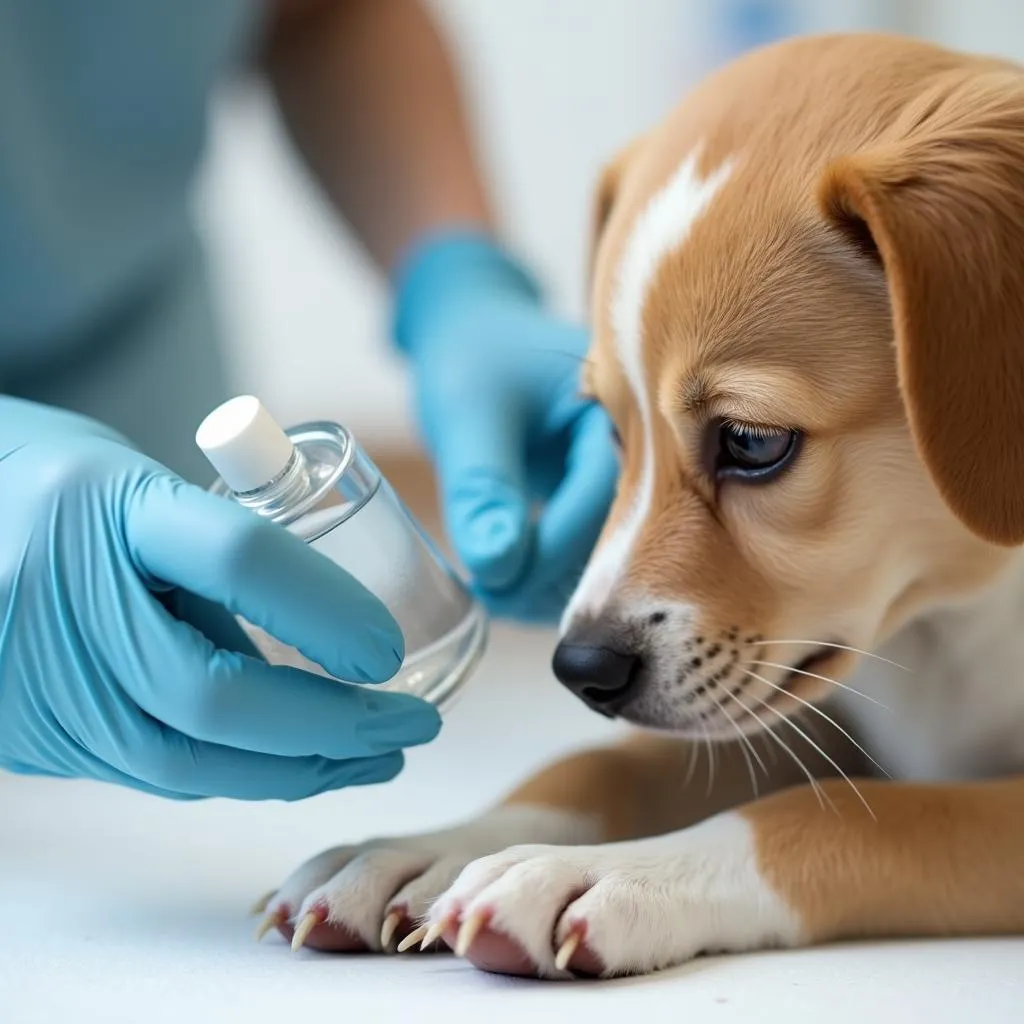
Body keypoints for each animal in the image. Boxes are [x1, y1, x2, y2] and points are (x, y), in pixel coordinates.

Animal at [251, 32, 1024, 974]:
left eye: (753, 442)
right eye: (613, 435)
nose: (580, 670)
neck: (956, 626)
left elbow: (846, 816)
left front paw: (607, 876)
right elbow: (602, 764)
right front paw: (427, 849)